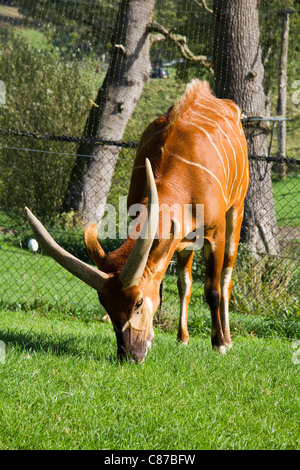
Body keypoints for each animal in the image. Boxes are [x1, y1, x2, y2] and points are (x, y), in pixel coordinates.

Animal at [25, 80, 248, 364]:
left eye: (138, 302)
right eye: (106, 305)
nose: (130, 355)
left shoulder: (214, 233)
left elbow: (213, 289)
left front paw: (219, 344)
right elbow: (174, 285)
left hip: (236, 213)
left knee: (225, 279)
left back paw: (227, 339)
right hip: (185, 241)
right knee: (184, 283)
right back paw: (183, 338)